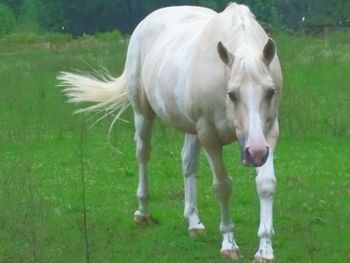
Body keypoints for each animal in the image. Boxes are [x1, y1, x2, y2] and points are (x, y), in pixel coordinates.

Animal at [58, 2, 284, 263]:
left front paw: (265, 249)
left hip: (193, 129)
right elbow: (222, 186)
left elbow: (266, 184)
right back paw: (143, 212)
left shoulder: (267, 133)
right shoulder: (209, 134)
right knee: (143, 154)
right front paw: (228, 243)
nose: (255, 153)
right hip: (144, 114)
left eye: (270, 92)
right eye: (232, 94)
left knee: (188, 163)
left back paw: (194, 222)